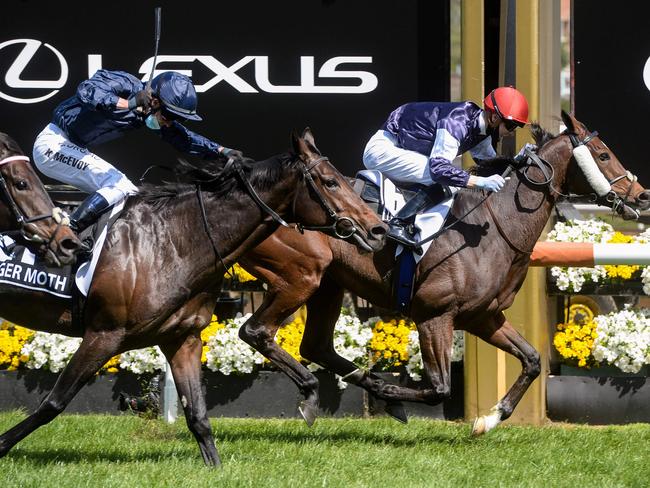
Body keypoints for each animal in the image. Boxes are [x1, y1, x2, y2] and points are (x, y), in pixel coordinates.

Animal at [237, 111, 648, 430]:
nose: (641, 195)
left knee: (315, 345)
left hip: (328, 285)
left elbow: (531, 360)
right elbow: (440, 388)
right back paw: (314, 393)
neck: (495, 224)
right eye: (603, 154)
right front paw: (391, 393)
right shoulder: (435, 316)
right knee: (256, 331)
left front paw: (490, 419)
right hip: (301, 276)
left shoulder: (483, 316)